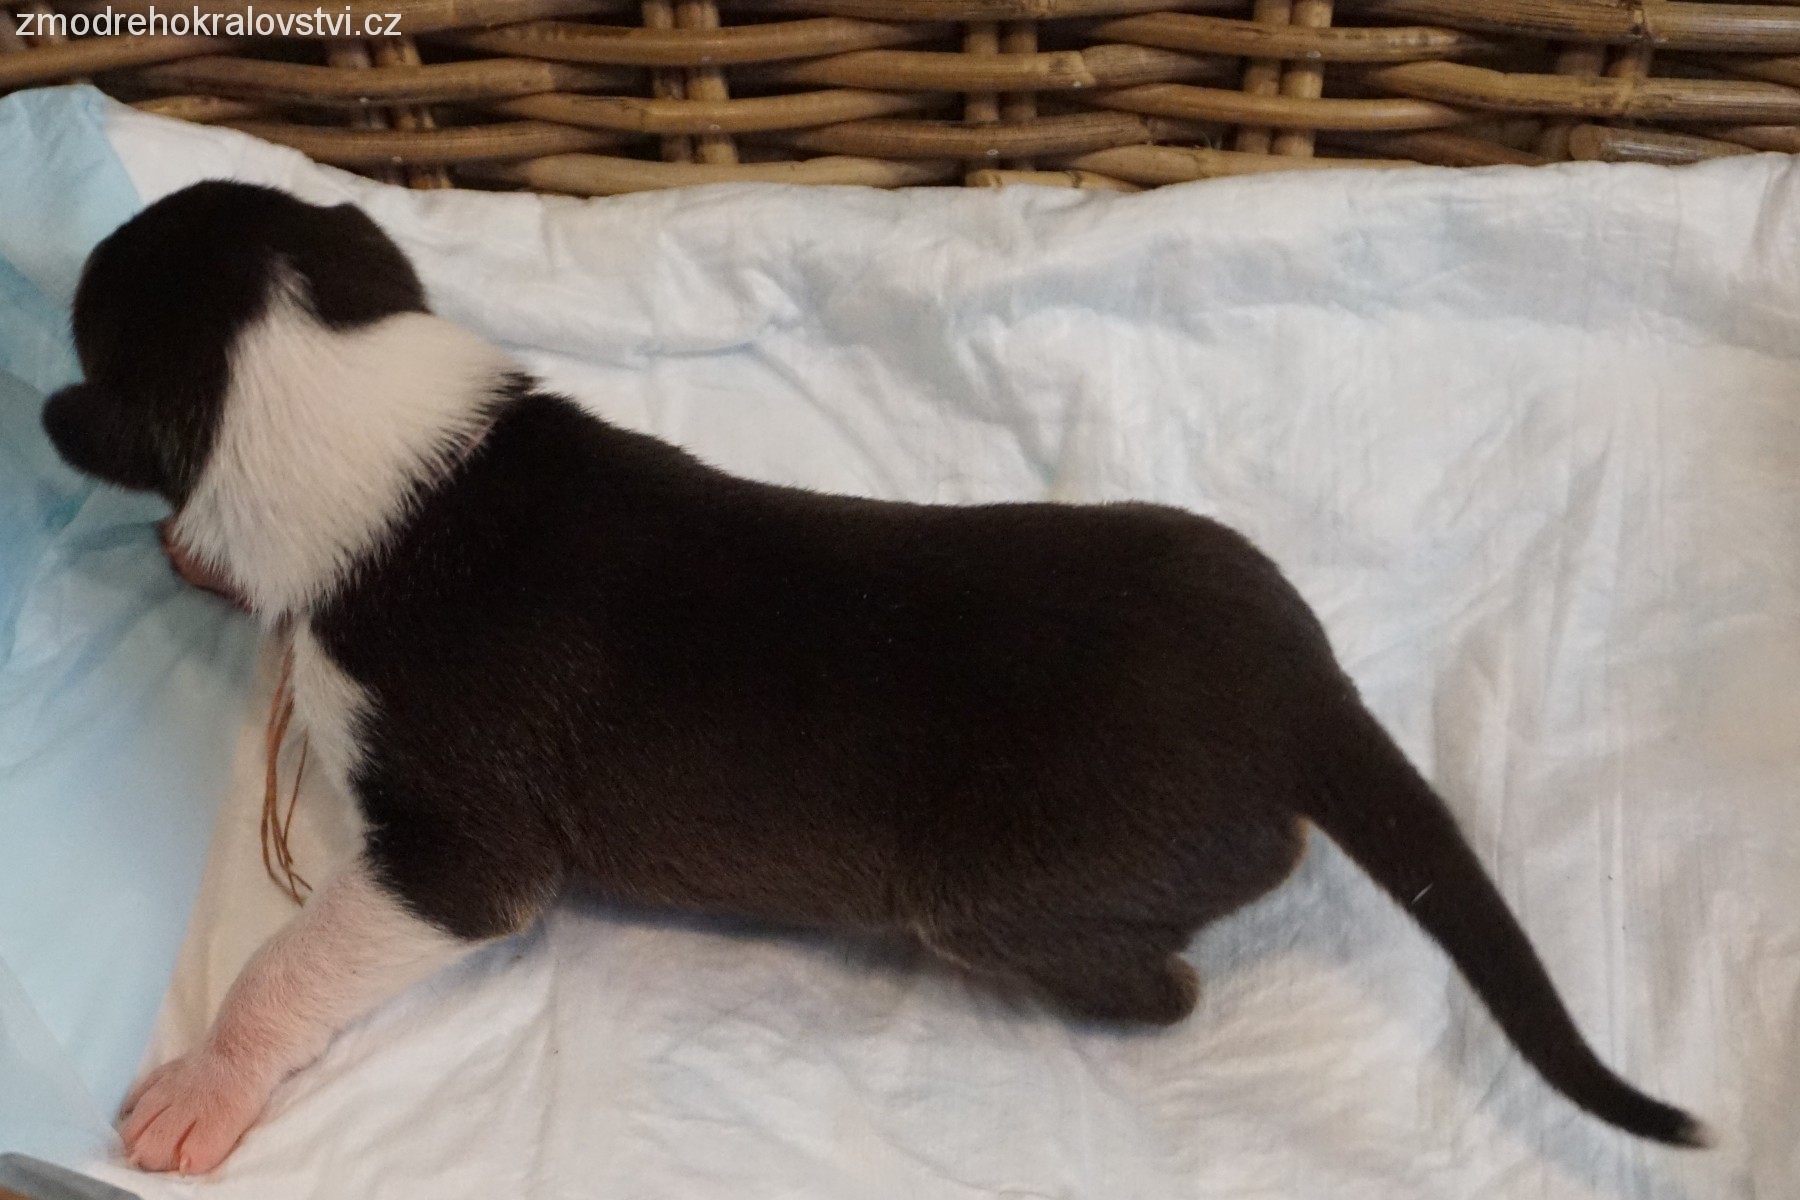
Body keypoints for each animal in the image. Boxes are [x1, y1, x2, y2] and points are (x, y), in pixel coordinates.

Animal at [41, 181, 1705, 1174]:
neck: (379, 437)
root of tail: (1312, 701)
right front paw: (202, 556)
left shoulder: (460, 854)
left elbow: (298, 954)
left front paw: (204, 1083)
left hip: (1003, 895)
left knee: (1160, 987)